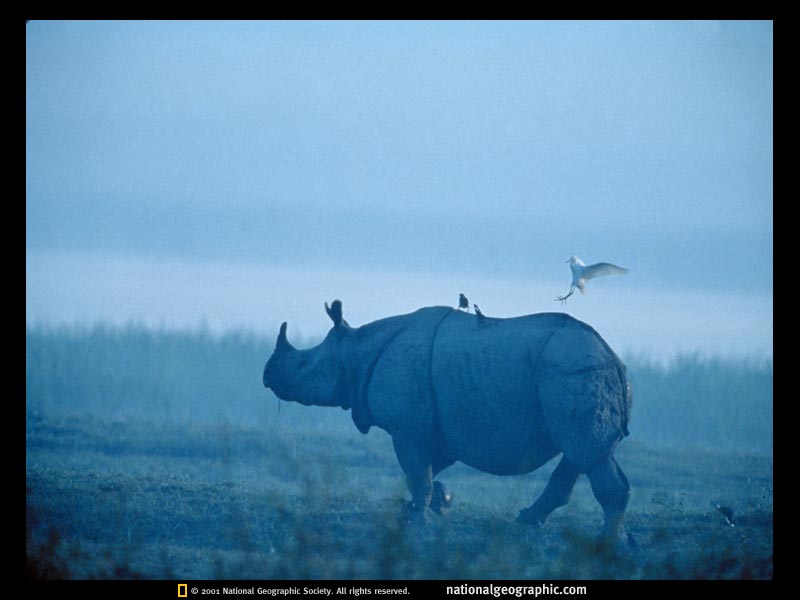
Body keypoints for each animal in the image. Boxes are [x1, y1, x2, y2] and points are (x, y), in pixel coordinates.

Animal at [262, 300, 633, 541]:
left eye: (302, 365)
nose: (267, 377)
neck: (354, 352)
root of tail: (612, 357)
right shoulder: (432, 429)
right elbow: (427, 471)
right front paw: (430, 505)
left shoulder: (407, 428)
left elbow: (417, 474)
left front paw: (418, 520)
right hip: (577, 373)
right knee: (582, 453)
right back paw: (532, 521)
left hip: (572, 372)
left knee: (587, 453)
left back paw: (607, 541)